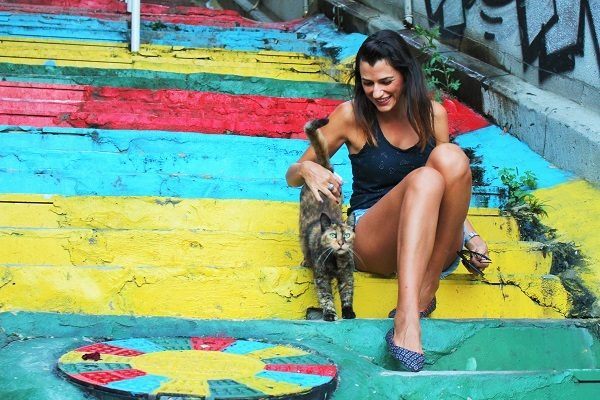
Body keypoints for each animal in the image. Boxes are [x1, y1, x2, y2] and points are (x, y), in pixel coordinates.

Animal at [298, 117, 354, 320]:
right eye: (332, 235)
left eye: (347, 235)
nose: (340, 243)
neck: (336, 261)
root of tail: (323, 168)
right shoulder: (321, 277)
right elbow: (326, 297)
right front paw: (329, 314)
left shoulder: (347, 275)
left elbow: (347, 293)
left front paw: (348, 312)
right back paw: (305, 261)